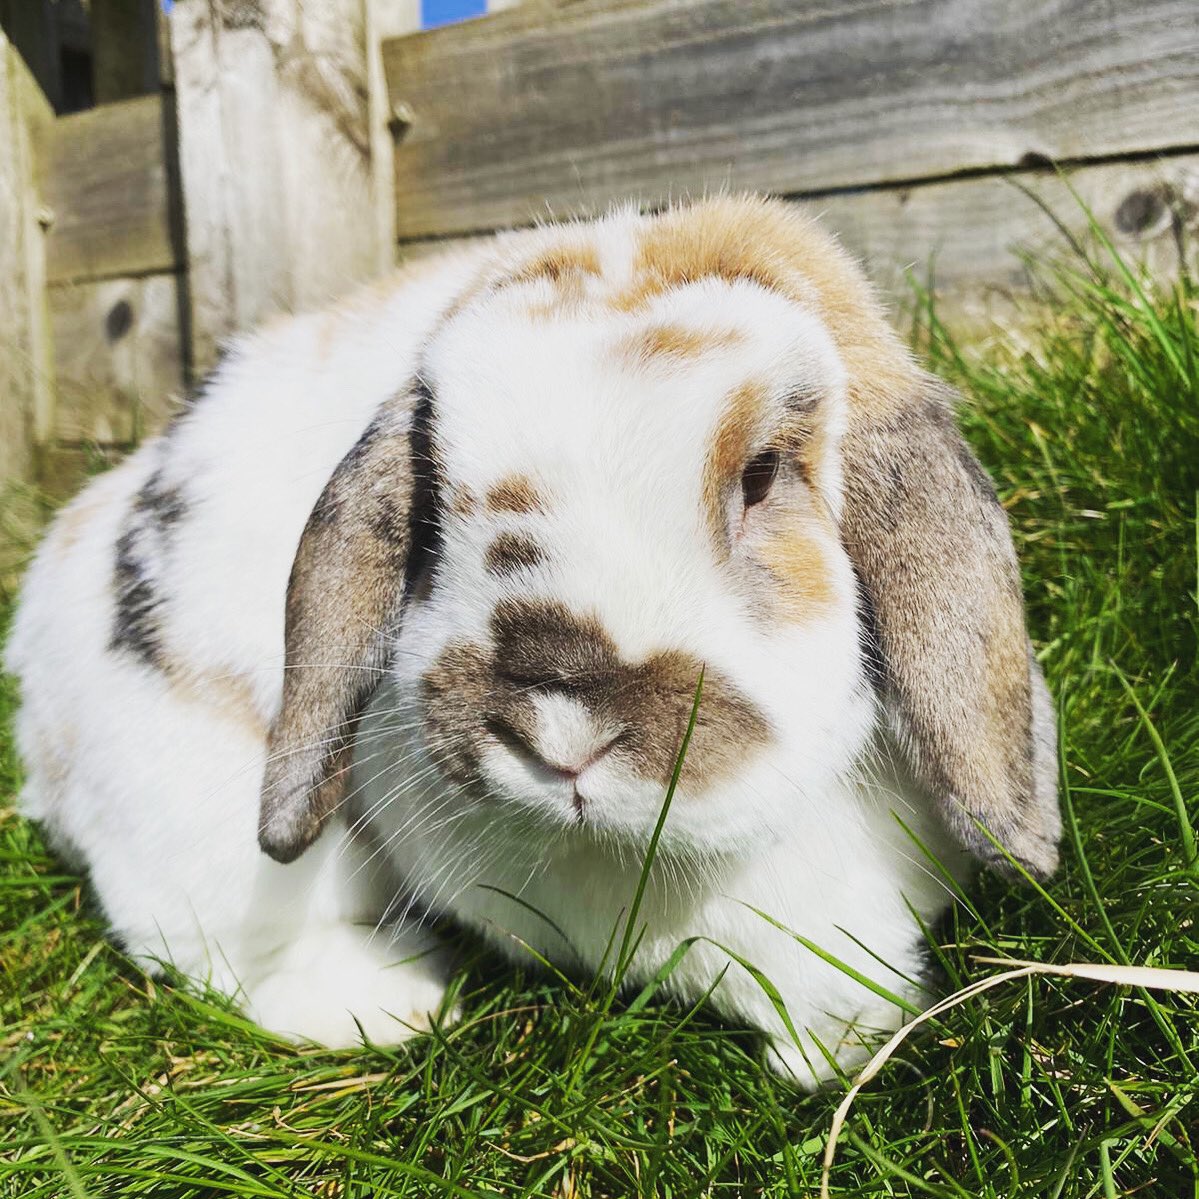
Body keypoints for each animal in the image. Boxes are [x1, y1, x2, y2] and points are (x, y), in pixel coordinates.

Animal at [5, 195, 1060, 1086]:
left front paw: (833, 1052)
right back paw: (395, 997)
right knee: (216, 951)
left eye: (760, 476)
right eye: (432, 504)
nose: (561, 730)